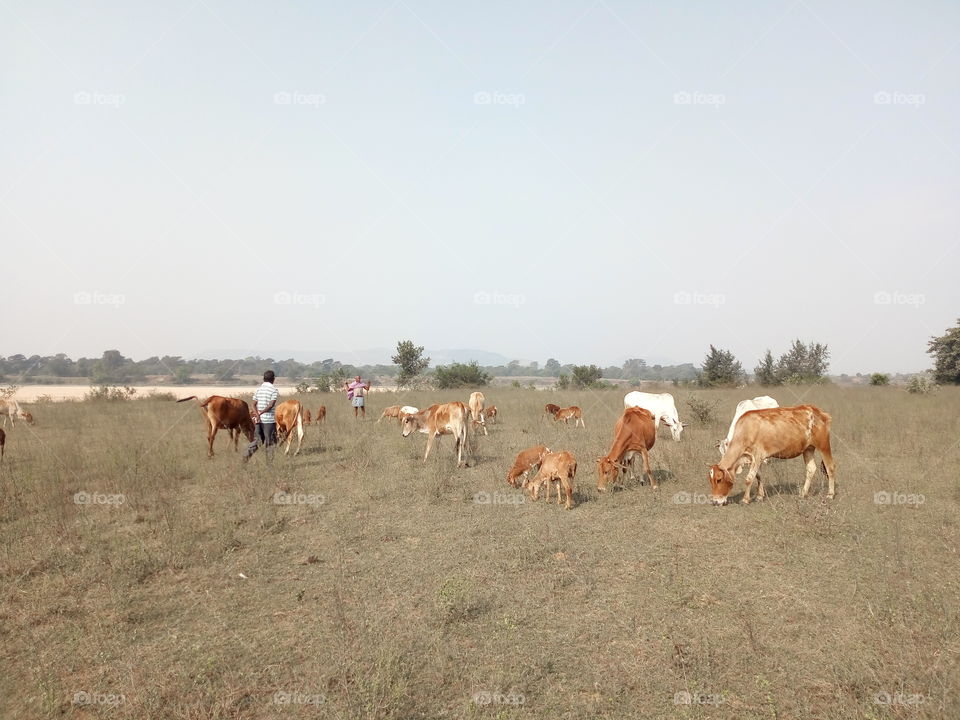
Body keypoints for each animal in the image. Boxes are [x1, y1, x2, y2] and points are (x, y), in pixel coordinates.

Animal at [707, 405, 837, 506]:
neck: (746, 431)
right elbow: (758, 476)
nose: (715, 502)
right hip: (808, 449)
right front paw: (760, 496)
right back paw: (803, 493)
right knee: (811, 469)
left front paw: (745, 499)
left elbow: (749, 478)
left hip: (824, 446)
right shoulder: (756, 459)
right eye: (711, 480)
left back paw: (830, 495)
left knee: (830, 467)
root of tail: (819, 412)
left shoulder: (757, 455)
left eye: (719, 479)